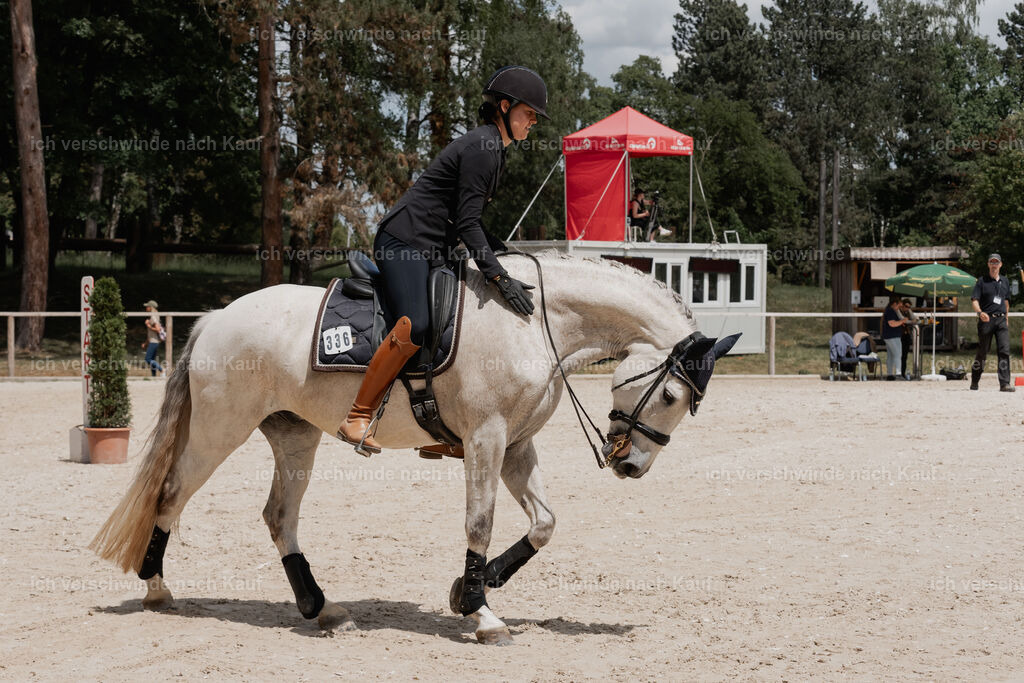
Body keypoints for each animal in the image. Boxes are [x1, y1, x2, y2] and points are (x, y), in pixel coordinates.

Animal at [90, 253, 737, 645]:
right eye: (672, 395)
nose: (631, 464)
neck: (537, 323)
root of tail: (217, 317)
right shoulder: (486, 439)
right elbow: (480, 522)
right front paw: (482, 614)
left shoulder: (516, 445)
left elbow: (545, 523)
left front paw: (472, 588)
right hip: (220, 430)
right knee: (171, 494)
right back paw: (157, 589)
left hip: (295, 436)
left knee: (279, 517)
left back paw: (321, 607)